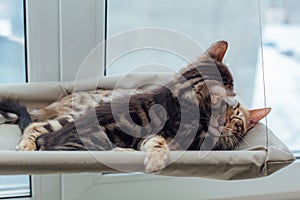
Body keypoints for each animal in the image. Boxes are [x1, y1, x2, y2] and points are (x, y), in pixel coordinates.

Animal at [0, 40, 272, 172]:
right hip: (76, 118)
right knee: (35, 127)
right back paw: (26, 146)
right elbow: (159, 143)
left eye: (235, 120)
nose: (221, 122)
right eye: (224, 109)